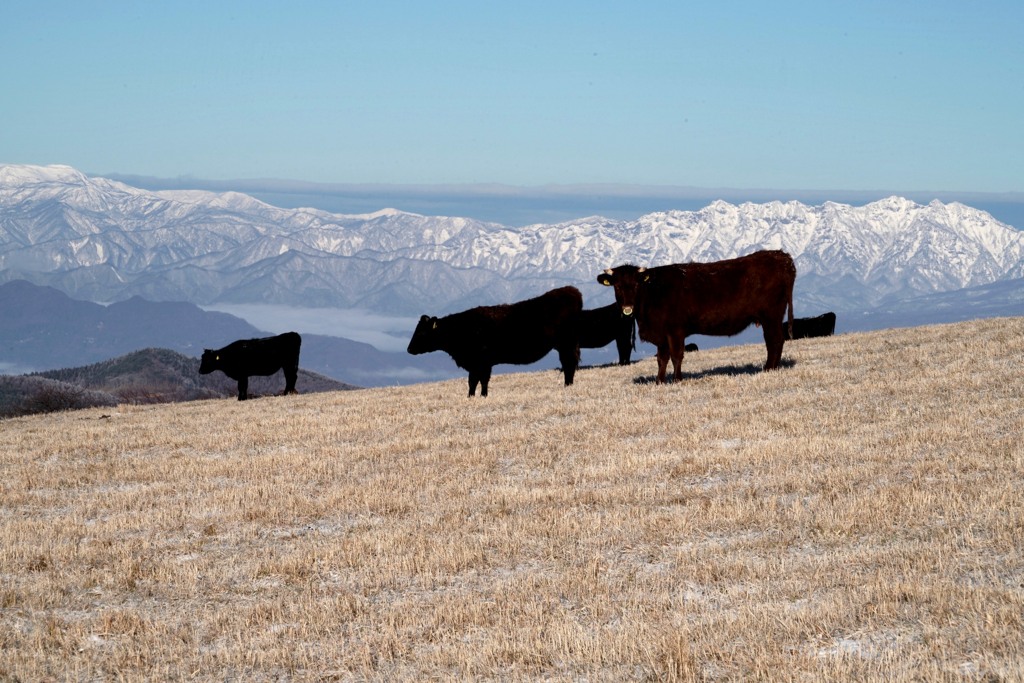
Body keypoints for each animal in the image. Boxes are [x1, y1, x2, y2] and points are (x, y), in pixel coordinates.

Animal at [407, 286, 585, 397]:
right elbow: (473, 382)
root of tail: (572, 290)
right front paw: (472, 397)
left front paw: (482, 396)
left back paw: (568, 386)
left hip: (567, 343)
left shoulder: (482, 362)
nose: (409, 349)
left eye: (422, 332)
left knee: (569, 364)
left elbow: (480, 381)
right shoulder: (475, 364)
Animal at [598, 249, 794, 385]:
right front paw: (659, 381)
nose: (627, 308)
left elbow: (676, 355)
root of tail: (781, 256)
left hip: (771, 316)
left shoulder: (675, 330)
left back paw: (769, 369)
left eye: (636, 285)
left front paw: (677, 380)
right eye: (617, 286)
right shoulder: (661, 333)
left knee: (775, 341)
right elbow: (661, 358)